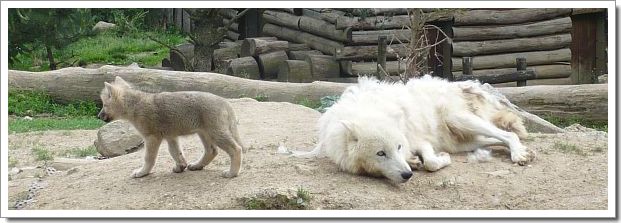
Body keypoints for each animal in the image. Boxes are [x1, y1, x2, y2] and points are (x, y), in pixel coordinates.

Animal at [294, 76, 532, 184]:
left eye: (398, 147)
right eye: (381, 153)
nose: (407, 175)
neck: (367, 110)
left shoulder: (418, 139)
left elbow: (431, 163)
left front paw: (437, 160)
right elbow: (426, 161)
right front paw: (415, 161)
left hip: (460, 120)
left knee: (508, 134)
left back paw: (519, 155)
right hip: (466, 142)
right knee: (499, 139)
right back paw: (526, 152)